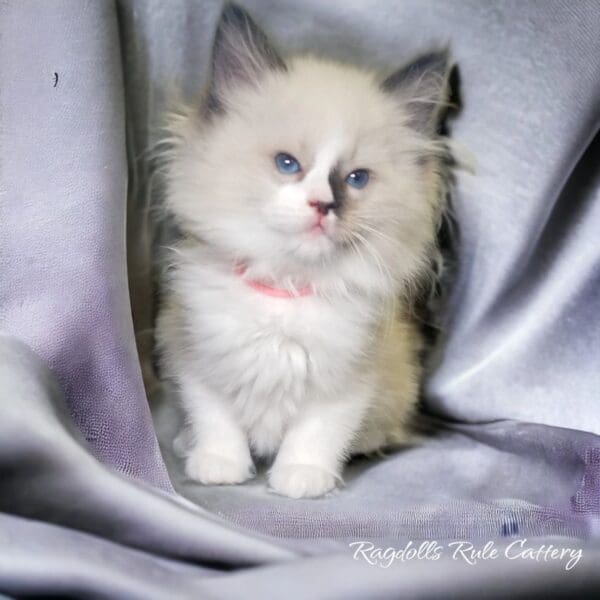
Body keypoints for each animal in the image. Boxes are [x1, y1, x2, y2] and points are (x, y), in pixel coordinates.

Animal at [157, 4, 452, 500]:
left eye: (356, 179)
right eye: (287, 164)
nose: (323, 205)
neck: (286, 286)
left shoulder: (348, 381)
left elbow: (317, 433)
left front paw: (301, 478)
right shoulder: (195, 354)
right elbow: (216, 416)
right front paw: (220, 466)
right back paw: (185, 442)